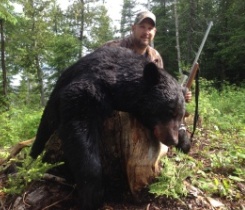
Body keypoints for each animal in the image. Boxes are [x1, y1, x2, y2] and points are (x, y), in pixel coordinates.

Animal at [29, 46, 185, 210]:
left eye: (181, 115)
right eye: (170, 111)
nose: (173, 140)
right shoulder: (92, 85)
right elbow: (78, 117)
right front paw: (92, 195)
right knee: (44, 130)